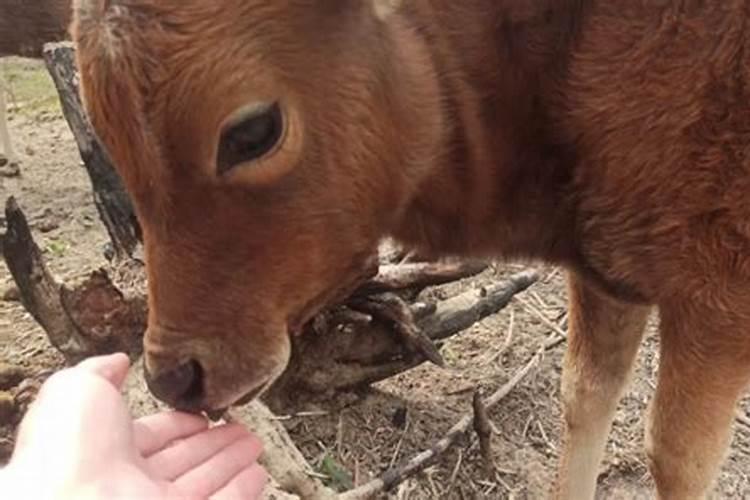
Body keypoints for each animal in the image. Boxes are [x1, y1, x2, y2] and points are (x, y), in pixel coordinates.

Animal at [69, 0, 750, 500]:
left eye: (254, 131)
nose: (175, 376)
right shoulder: (608, 270)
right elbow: (583, 399)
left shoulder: (716, 299)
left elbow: (678, 458)